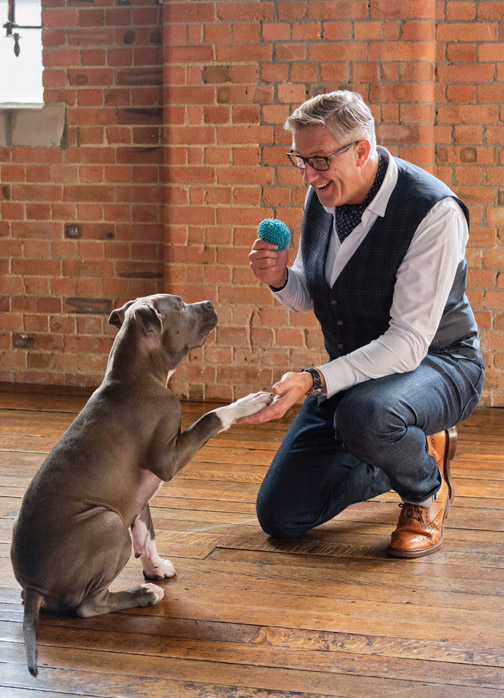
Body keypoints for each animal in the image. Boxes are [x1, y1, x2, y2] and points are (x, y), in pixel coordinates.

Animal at [10, 294, 272, 676]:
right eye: (180, 304)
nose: (208, 302)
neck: (136, 376)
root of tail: (34, 587)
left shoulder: (138, 496)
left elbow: (147, 532)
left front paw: (156, 567)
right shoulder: (167, 460)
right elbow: (211, 417)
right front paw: (247, 403)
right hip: (108, 522)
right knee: (88, 605)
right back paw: (143, 595)